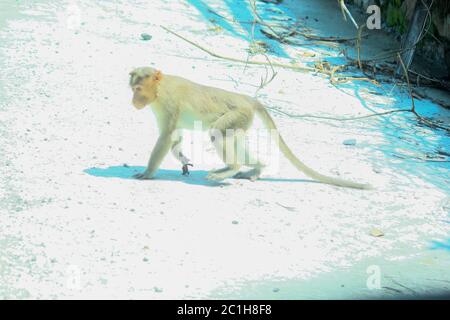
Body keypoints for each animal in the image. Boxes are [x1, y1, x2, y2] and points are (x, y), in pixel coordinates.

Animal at [128, 66, 370, 189]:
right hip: (242, 120)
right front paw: (183, 159)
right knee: (233, 141)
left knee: (218, 134)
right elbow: (175, 138)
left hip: (238, 114)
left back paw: (232, 168)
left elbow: (167, 136)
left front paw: (148, 173)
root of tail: (247, 99)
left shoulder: (168, 103)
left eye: (139, 89)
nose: (134, 101)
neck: (160, 88)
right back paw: (257, 168)